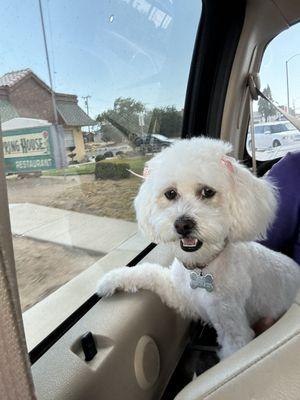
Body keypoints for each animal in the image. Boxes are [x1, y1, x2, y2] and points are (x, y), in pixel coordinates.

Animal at [98, 136, 300, 358]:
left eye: (207, 192)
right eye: (170, 193)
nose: (182, 225)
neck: (202, 266)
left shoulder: (234, 330)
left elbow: (233, 347)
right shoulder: (180, 294)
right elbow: (150, 272)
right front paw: (112, 280)